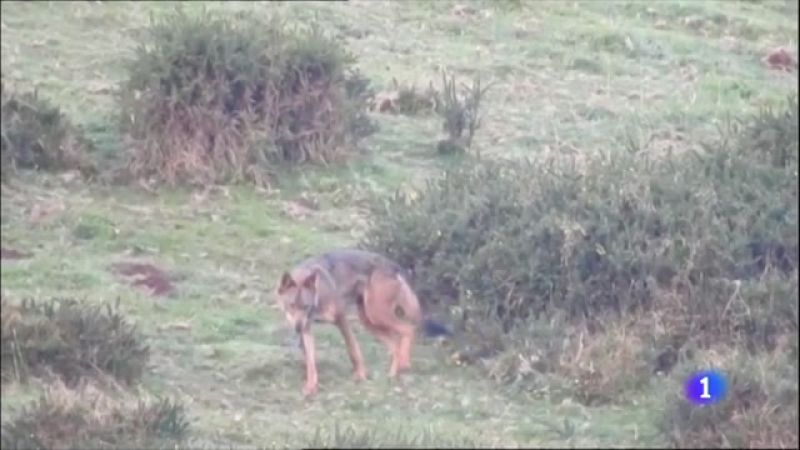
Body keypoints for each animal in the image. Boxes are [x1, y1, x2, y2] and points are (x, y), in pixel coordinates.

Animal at [275, 248, 450, 397]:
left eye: (306, 306)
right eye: (291, 306)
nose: (297, 327)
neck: (318, 294)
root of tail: (393, 265)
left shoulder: (341, 318)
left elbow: (353, 350)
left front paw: (360, 376)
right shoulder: (307, 329)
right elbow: (311, 362)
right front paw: (311, 387)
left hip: (376, 314)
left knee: (408, 329)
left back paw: (404, 364)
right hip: (369, 321)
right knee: (395, 344)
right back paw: (393, 374)